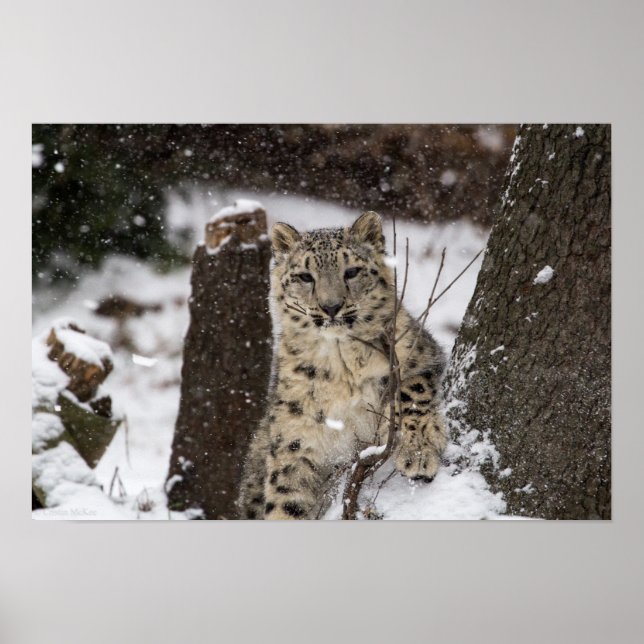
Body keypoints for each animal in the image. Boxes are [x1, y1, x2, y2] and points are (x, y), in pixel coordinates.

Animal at [238, 211, 447, 519]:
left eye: (351, 271)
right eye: (305, 276)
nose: (331, 307)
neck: (341, 365)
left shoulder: (419, 353)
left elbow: (412, 392)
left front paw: (418, 454)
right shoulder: (295, 437)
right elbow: (285, 499)